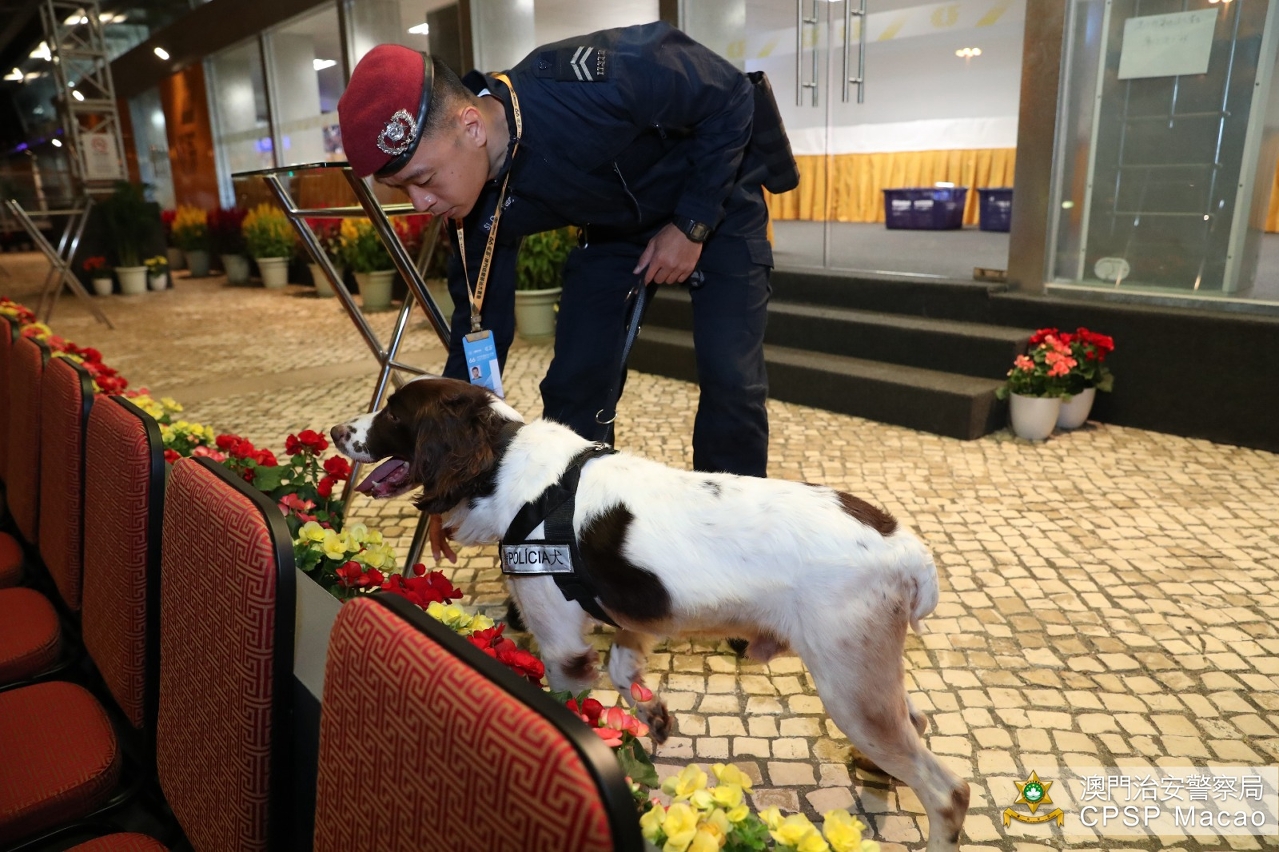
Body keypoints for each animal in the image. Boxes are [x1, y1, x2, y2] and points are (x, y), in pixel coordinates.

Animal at [331, 376, 969, 852]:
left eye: (393, 412)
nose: (338, 430)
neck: (504, 466)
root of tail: (907, 549)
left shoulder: (562, 645)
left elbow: (573, 706)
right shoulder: (634, 619)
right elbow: (624, 667)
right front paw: (652, 715)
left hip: (848, 684)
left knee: (948, 792)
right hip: (870, 674)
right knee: (917, 722)